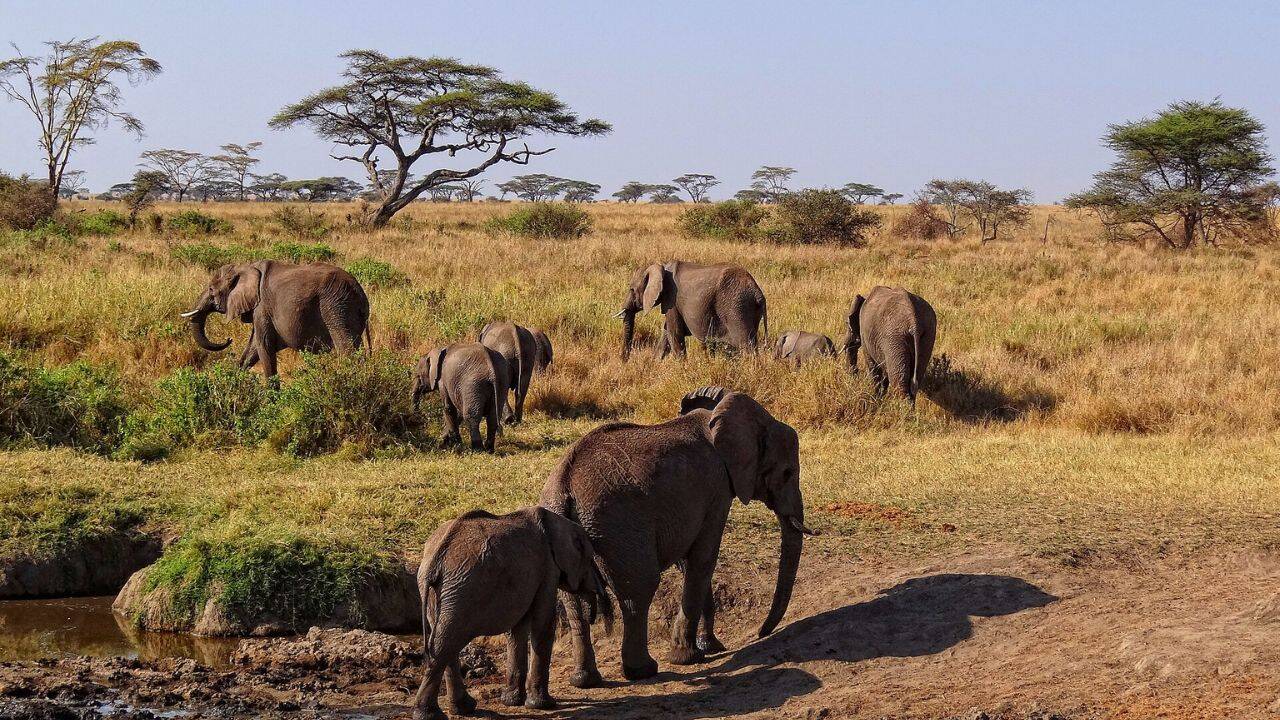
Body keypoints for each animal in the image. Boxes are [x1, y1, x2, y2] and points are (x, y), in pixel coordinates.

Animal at [180, 260, 370, 377]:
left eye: (211, 289)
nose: (229, 339)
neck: (245, 267)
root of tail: (360, 294)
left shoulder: (262, 308)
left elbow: (263, 346)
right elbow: (252, 349)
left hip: (336, 308)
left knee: (347, 349)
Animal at [412, 506, 612, 720]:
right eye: (590, 559)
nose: (594, 615)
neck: (560, 523)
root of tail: (435, 560)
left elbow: (517, 629)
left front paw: (512, 701)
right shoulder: (548, 568)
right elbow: (543, 624)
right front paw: (543, 705)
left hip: (441, 592)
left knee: (445, 642)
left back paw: (463, 709)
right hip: (462, 589)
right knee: (445, 643)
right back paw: (430, 714)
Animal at [540, 386, 813, 685]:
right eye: (787, 473)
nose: (762, 633)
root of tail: (564, 487)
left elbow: (689, 562)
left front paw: (710, 647)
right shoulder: (717, 488)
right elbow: (704, 558)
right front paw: (688, 657)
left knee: (573, 602)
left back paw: (585, 680)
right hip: (619, 528)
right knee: (638, 590)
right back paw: (644, 670)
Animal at [617, 260, 768, 360]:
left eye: (631, 289)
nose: (624, 361)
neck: (661, 266)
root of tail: (757, 293)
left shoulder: (672, 300)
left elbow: (674, 334)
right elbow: (666, 334)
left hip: (736, 307)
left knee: (746, 346)